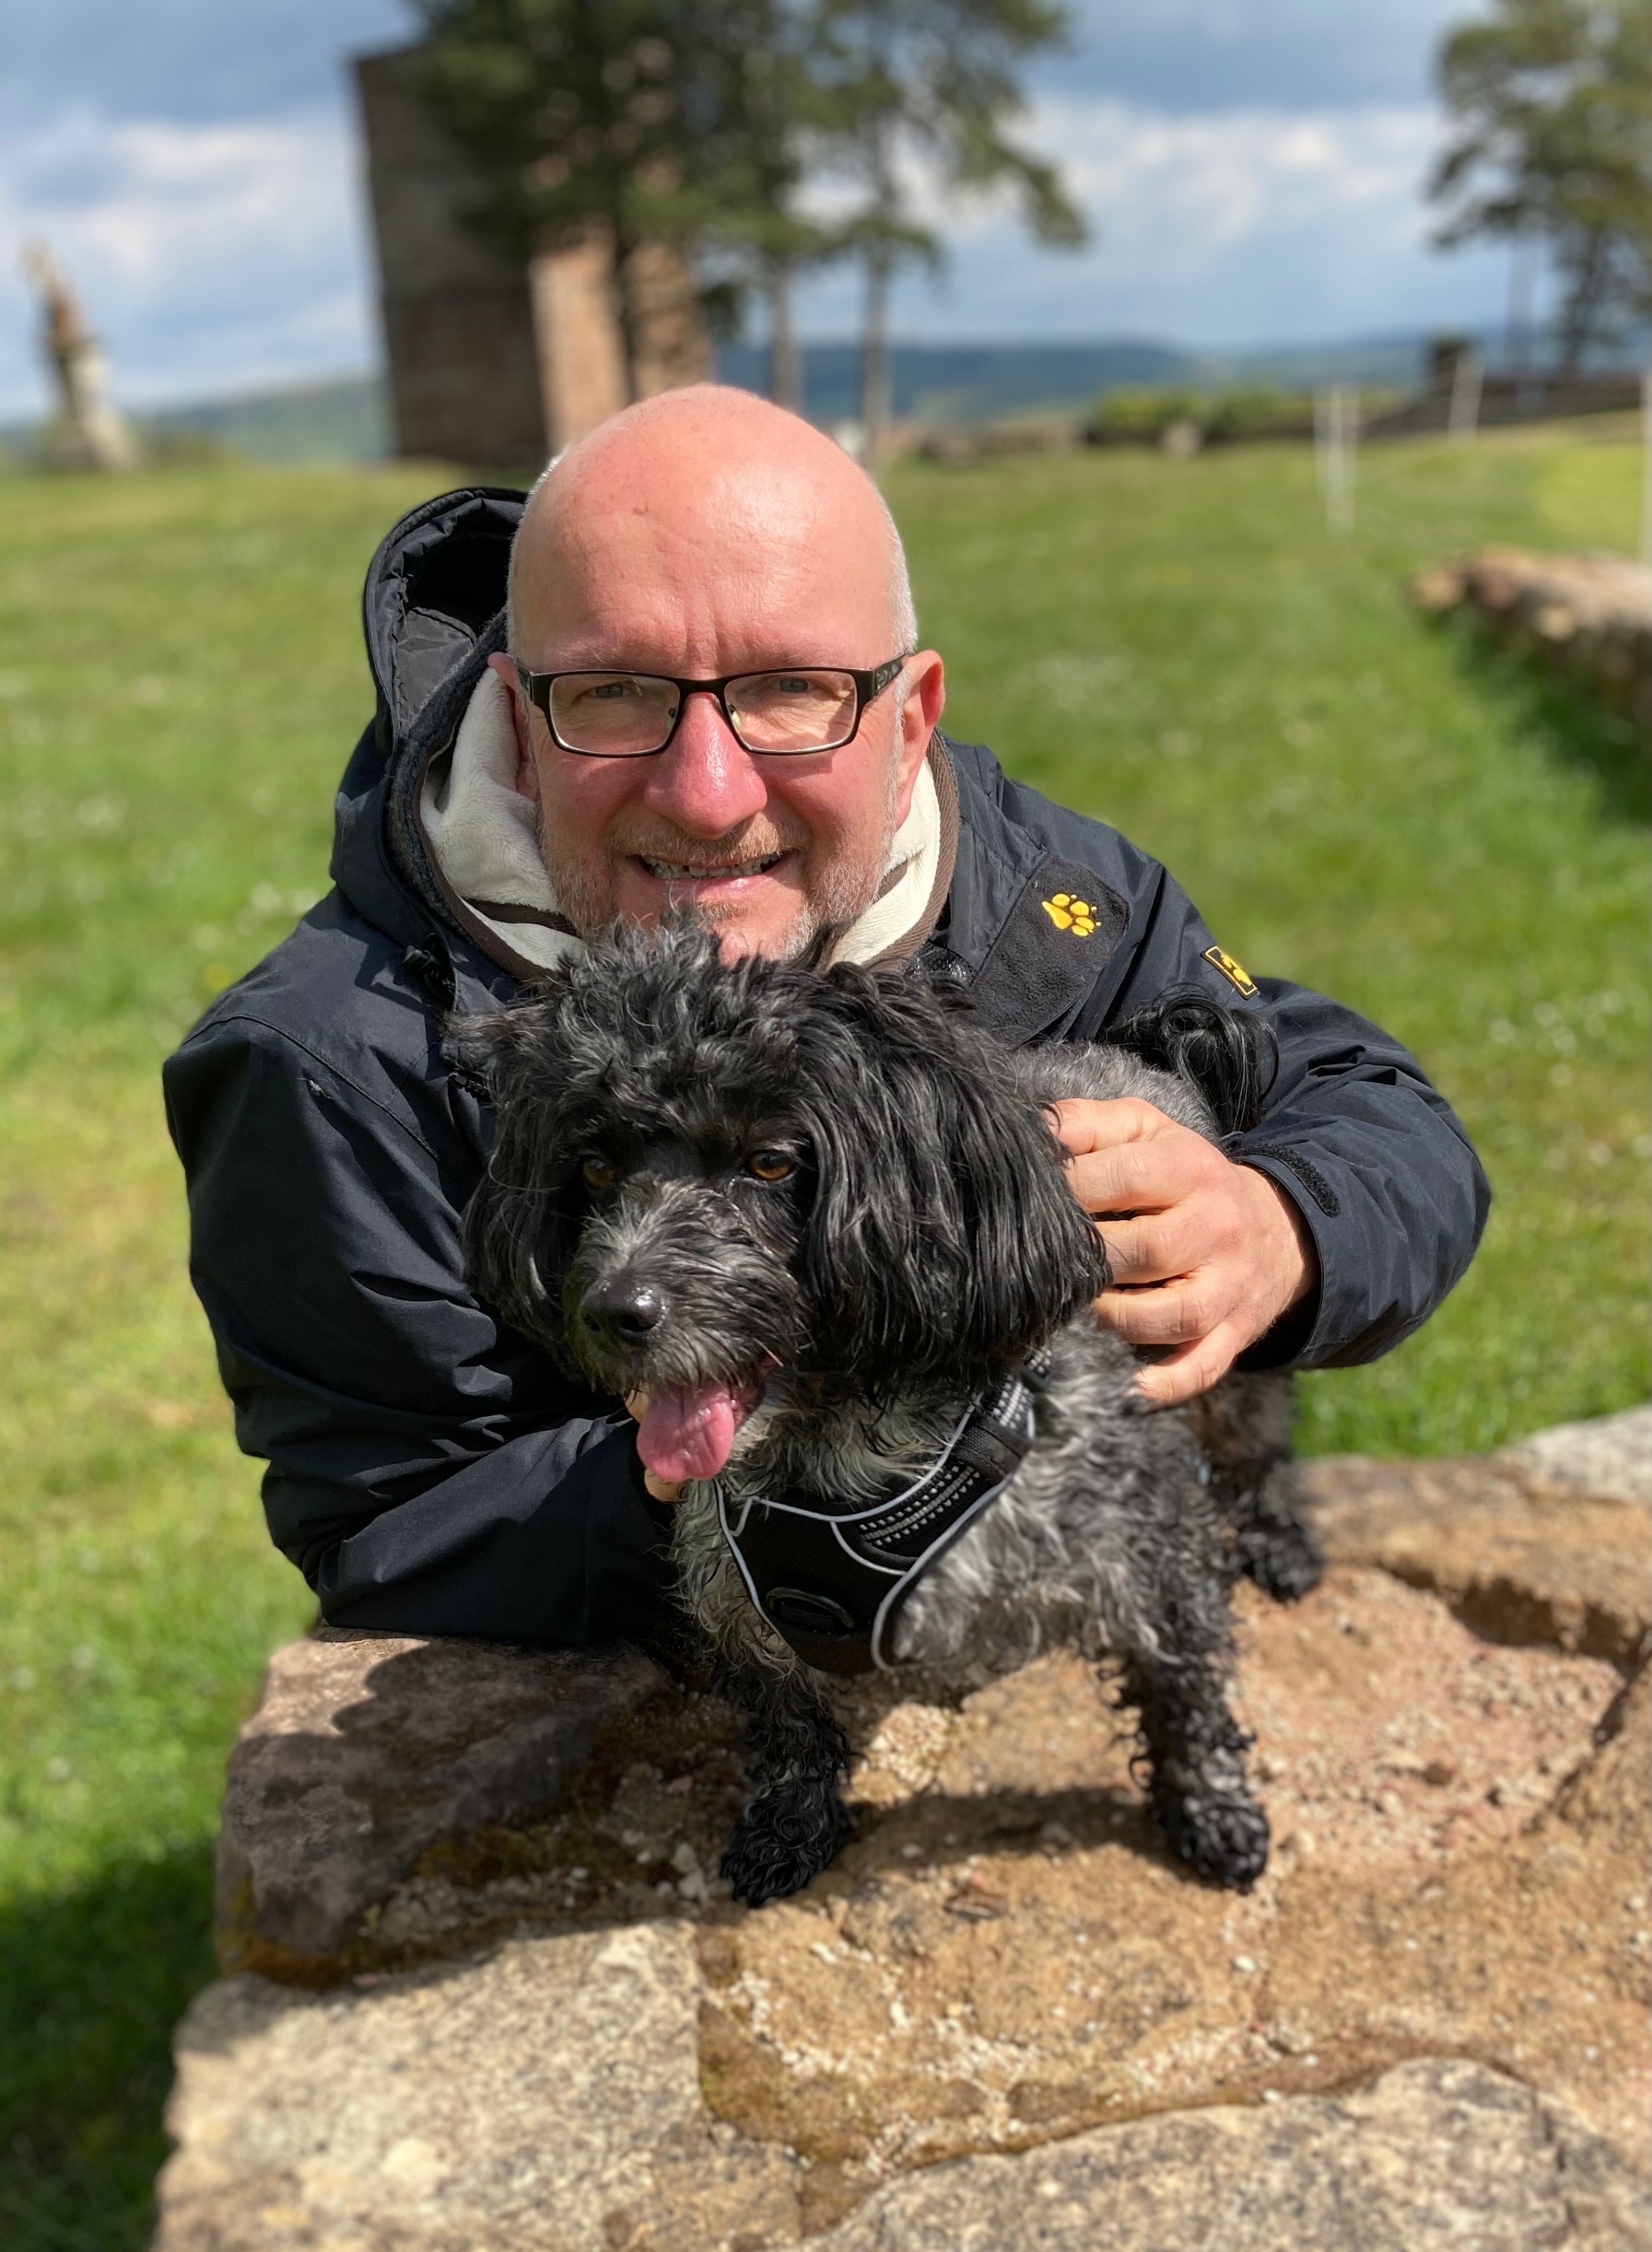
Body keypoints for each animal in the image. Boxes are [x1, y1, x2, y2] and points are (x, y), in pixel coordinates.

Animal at [459, 923, 1323, 1909]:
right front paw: (792, 1823)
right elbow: (789, 1721)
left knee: (1258, 1441)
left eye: (770, 1161)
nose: (614, 1309)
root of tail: (1145, 1049)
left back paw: (1279, 1537)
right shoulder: (730, 1595)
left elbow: (1186, 1693)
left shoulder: (1152, 1551)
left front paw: (1212, 1808)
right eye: (596, 1166)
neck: (833, 1460)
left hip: (1224, 1347)